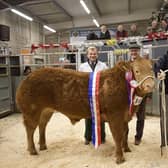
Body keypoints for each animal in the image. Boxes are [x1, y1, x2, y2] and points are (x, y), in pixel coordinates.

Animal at [15, 57, 155, 163]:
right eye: (137, 71)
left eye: (151, 69)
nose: (150, 85)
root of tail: (27, 79)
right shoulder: (115, 115)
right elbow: (118, 135)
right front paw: (120, 158)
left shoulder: (125, 116)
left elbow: (126, 132)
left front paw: (126, 149)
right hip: (31, 111)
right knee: (30, 129)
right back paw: (32, 150)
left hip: (46, 111)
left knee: (42, 125)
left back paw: (43, 145)